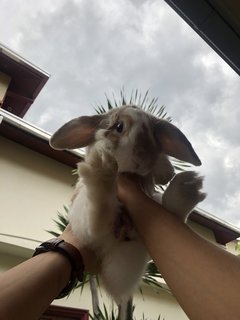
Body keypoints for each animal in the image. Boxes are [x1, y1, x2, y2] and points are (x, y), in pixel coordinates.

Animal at [49, 104, 205, 304]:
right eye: (119, 127)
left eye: (155, 134)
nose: (144, 159)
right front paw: (101, 152)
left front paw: (166, 172)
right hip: (83, 219)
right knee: (97, 220)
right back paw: (101, 168)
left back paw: (187, 187)